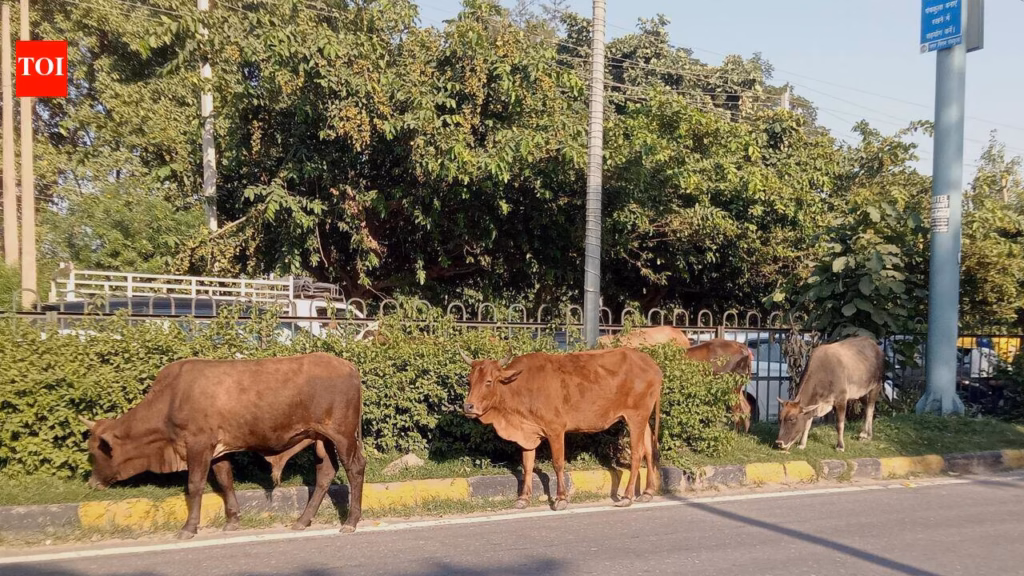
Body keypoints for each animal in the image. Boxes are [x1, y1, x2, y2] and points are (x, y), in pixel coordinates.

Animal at [78, 352, 366, 539]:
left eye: (94, 452)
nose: (92, 483)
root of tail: (348, 366)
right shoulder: (218, 450)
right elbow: (225, 481)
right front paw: (232, 520)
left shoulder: (198, 444)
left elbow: (195, 485)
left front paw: (188, 528)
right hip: (322, 439)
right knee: (325, 473)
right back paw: (303, 520)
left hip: (342, 434)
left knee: (355, 468)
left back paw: (350, 521)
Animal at [459, 347, 663, 511]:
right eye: (469, 381)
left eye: (489, 381)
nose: (468, 406)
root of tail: (651, 364)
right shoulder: (528, 433)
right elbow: (527, 465)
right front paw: (523, 499)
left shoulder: (555, 430)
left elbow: (557, 463)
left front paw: (561, 499)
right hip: (643, 419)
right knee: (649, 449)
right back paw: (647, 492)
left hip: (636, 417)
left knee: (637, 453)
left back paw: (627, 497)